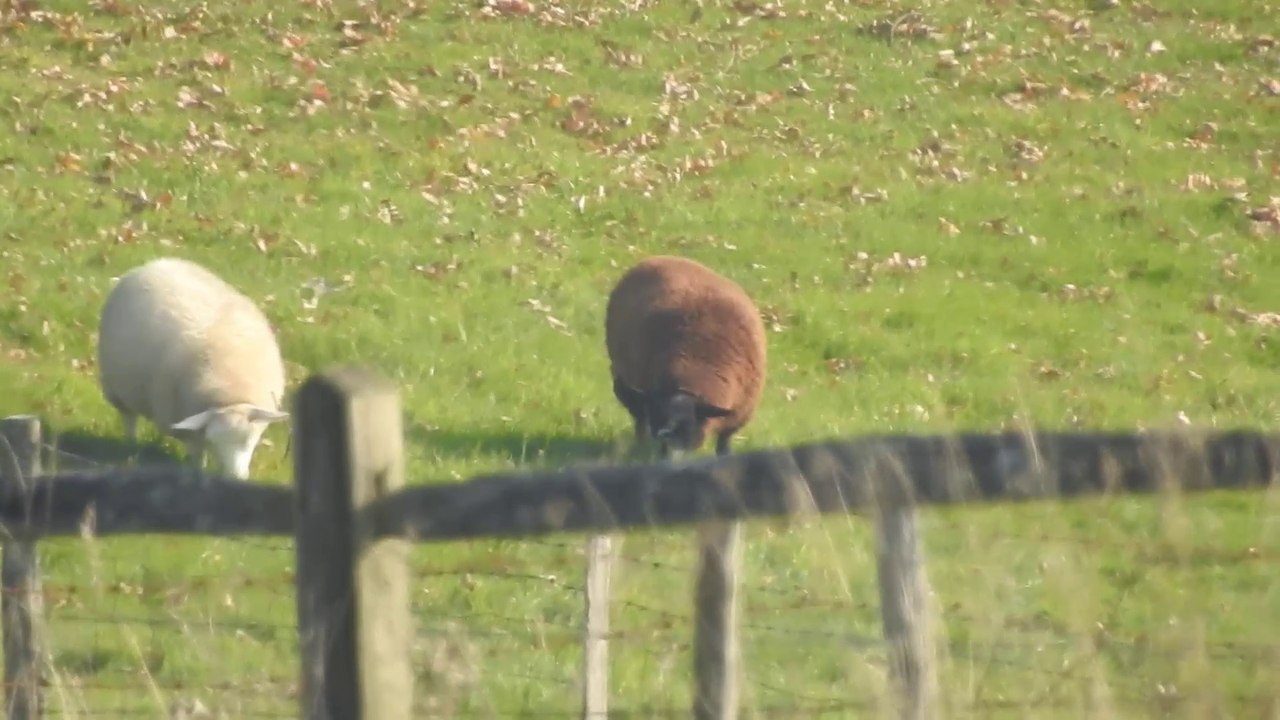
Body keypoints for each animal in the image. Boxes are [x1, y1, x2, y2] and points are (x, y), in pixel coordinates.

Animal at [96, 257, 290, 479]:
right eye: (215, 441)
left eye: (249, 440)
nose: (236, 477)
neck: (230, 393)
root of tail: (156, 262)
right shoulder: (187, 426)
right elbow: (197, 457)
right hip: (118, 388)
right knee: (129, 418)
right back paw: (131, 446)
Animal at [604, 255, 767, 459]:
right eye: (659, 424)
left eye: (688, 426)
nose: (670, 459)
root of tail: (660, 257)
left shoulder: (739, 414)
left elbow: (724, 442)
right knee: (638, 416)